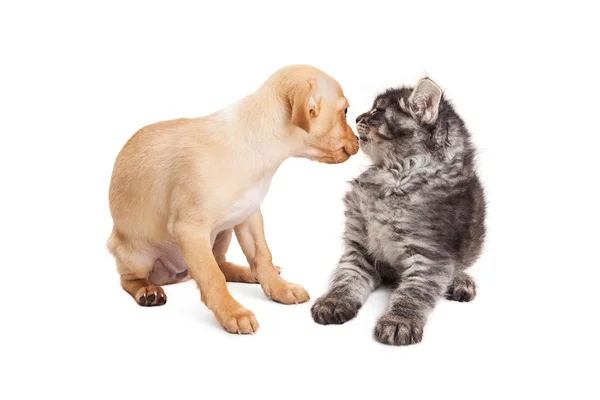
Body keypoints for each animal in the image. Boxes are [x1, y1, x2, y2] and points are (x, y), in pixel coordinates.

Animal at [106, 66, 358, 334]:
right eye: (345, 112)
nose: (359, 140)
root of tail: (178, 275)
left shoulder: (249, 216)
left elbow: (261, 257)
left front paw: (279, 288)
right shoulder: (190, 230)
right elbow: (212, 277)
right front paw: (233, 312)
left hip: (224, 232)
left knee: (222, 263)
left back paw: (250, 273)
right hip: (138, 256)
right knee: (129, 278)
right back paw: (147, 290)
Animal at [312, 77, 486, 344]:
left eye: (377, 112)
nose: (356, 117)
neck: (394, 178)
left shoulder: (430, 255)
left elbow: (413, 292)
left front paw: (398, 321)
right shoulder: (359, 248)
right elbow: (345, 278)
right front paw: (333, 301)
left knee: (457, 268)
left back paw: (460, 282)